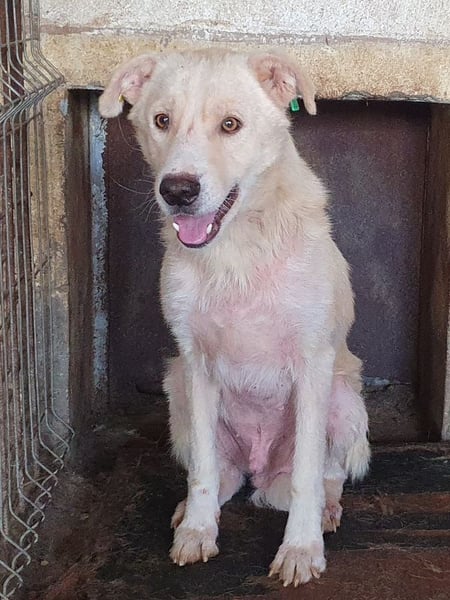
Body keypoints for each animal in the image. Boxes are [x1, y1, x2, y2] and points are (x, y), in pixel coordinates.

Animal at [99, 48, 370, 587]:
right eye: (161, 120)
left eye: (230, 125)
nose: (177, 190)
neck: (235, 252)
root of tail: (260, 470)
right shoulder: (196, 363)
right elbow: (203, 469)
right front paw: (198, 531)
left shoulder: (313, 364)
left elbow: (308, 473)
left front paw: (301, 548)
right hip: (177, 389)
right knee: (216, 472)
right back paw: (192, 509)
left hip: (346, 398)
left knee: (326, 473)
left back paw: (326, 509)